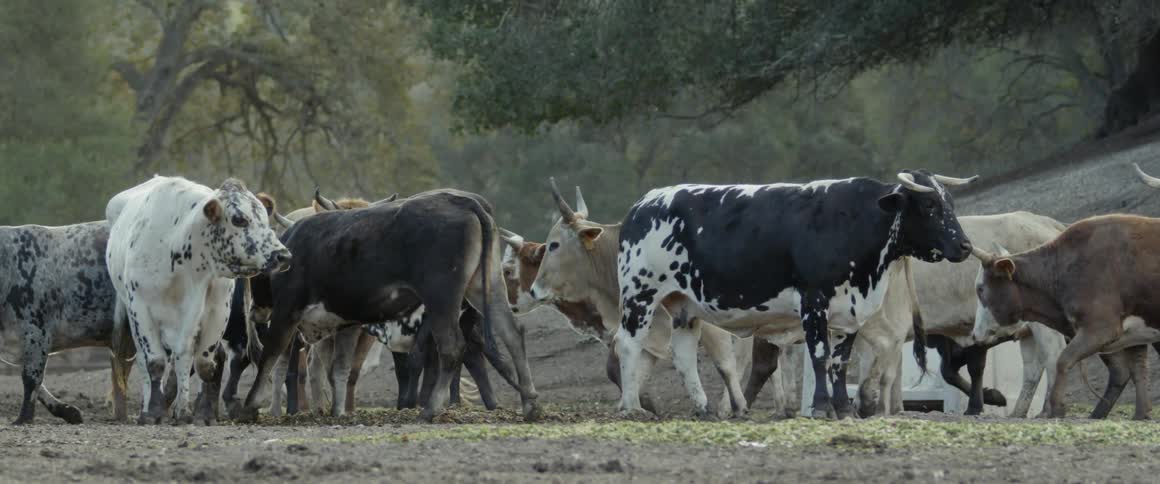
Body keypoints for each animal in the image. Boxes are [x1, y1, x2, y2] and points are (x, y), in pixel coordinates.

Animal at [106, 176, 291, 424]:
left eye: (264, 215)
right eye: (239, 219)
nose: (283, 255)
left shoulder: (216, 310)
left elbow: (203, 363)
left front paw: (200, 412)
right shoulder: (141, 308)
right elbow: (155, 362)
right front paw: (154, 411)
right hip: (132, 313)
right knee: (148, 363)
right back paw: (151, 409)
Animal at [235, 188, 539, 423]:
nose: (252, 311)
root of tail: (461, 200)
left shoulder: (287, 312)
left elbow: (269, 357)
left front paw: (250, 405)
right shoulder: (345, 323)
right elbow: (339, 369)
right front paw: (337, 411)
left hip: (442, 299)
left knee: (452, 348)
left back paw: (430, 409)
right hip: (485, 285)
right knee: (512, 334)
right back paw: (530, 402)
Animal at [607, 171, 975, 419]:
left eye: (949, 203)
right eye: (929, 205)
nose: (965, 246)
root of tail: (645, 203)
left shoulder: (848, 313)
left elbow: (839, 362)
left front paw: (843, 408)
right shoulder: (814, 302)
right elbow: (820, 356)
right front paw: (822, 407)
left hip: (685, 306)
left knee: (683, 355)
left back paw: (702, 408)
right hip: (641, 295)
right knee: (628, 344)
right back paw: (632, 406)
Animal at [972, 213, 1160, 420]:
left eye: (980, 288)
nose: (974, 334)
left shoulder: (1101, 329)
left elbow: (1063, 360)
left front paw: (1057, 407)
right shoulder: (1134, 334)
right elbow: (1138, 370)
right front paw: (1141, 414)